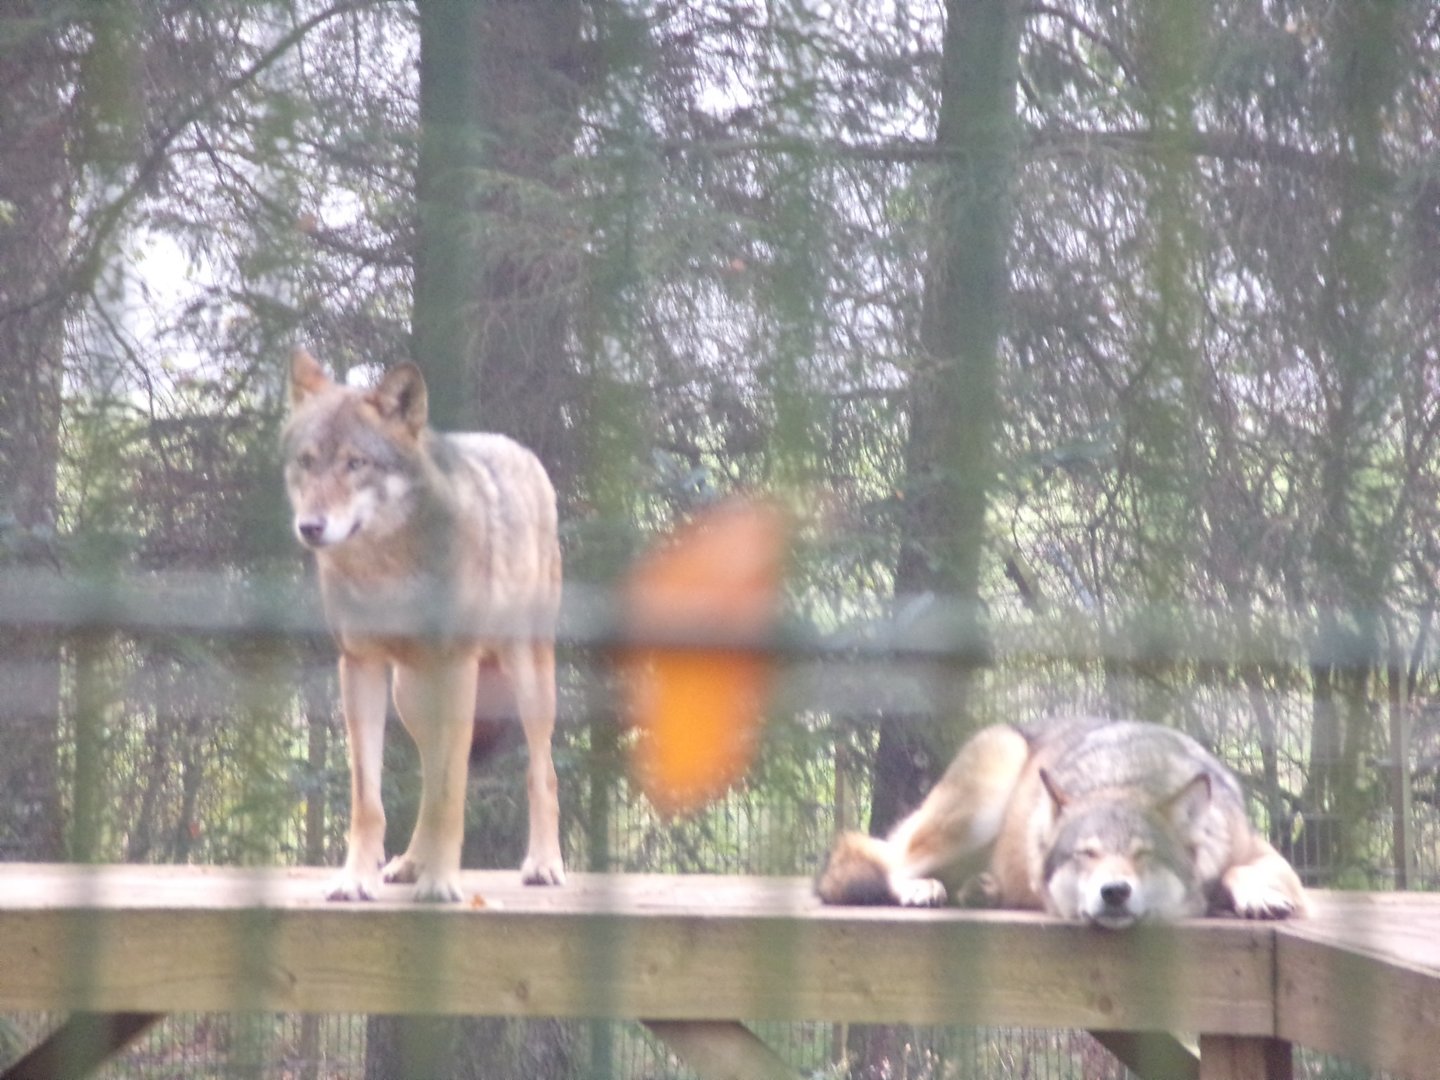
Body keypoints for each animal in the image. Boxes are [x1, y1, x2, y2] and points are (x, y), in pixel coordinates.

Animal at [283, 348, 564, 902]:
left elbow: (450, 795)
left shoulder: (457, 665)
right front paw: (356, 878)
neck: (386, 569)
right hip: (411, 696)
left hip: (525, 675)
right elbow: (369, 798)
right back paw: (410, 862)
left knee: (540, 772)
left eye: (356, 463)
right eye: (307, 461)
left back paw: (543, 864)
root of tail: (518, 449)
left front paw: (441, 884)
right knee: (430, 774)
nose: (310, 527)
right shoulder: (359, 666)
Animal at [817, 717, 1307, 928]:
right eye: (1086, 854)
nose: (1114, 892)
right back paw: (921, 889)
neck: (1124, 778)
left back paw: (982, 889)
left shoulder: (1269, 858)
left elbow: (1237, 869)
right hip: (981, 795)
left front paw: (1256, 896)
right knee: (889, 861)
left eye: (1143, 855)